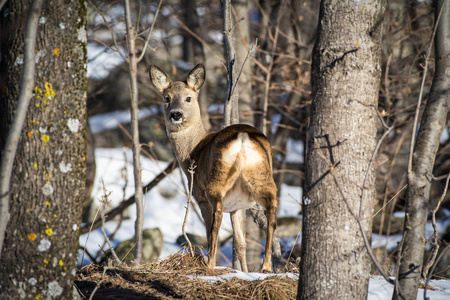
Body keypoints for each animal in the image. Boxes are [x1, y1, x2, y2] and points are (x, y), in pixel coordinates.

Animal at [150, 64, 278, 274]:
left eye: (188, 98)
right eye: (166, 98)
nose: (176, 114)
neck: (192, 151)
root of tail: (242, 137)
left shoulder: (200, 197)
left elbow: (213, 234)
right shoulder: (238, 206)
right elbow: (240, 243)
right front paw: (244, 271)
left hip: (216, 181)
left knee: (215, 224)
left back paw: (210, 264)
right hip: (261, 175)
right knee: (272, 211)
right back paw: (266, 266)